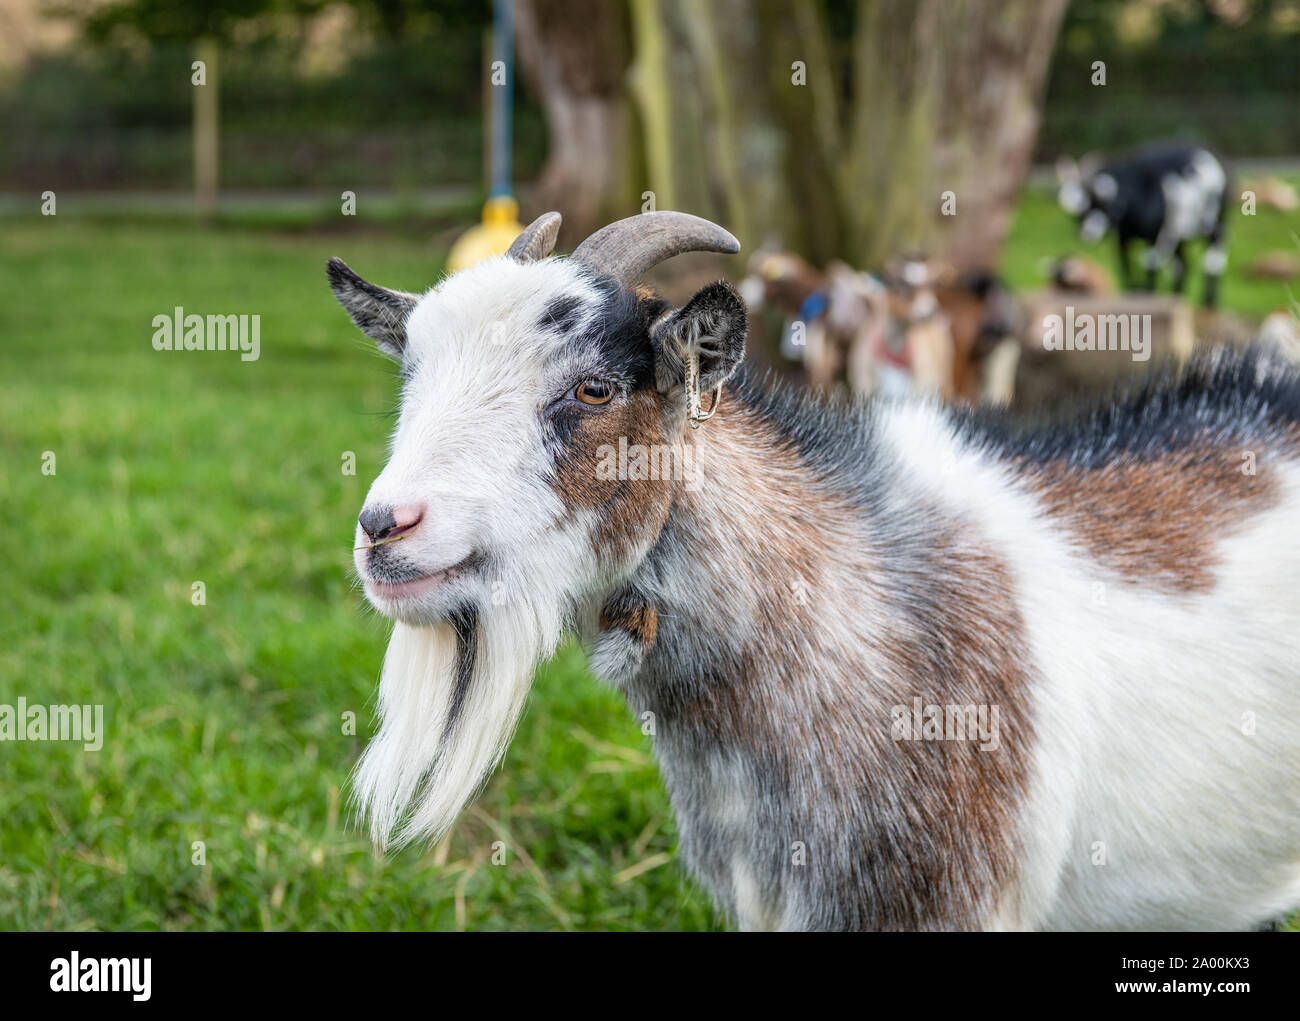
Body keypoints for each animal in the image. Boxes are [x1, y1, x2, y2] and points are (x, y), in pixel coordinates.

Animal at [1058, 142, 1230, 307]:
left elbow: (1150, 272)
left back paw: (1209, 303)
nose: (1086, 235)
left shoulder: (1153, 239)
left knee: (1213, 260)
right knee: (1182, 267)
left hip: (1215, 224)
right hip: (1177, 234)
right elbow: (1127, 273)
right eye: (1077, 215)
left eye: (1102, 206)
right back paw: (1177, 297)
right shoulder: (1122, 241)